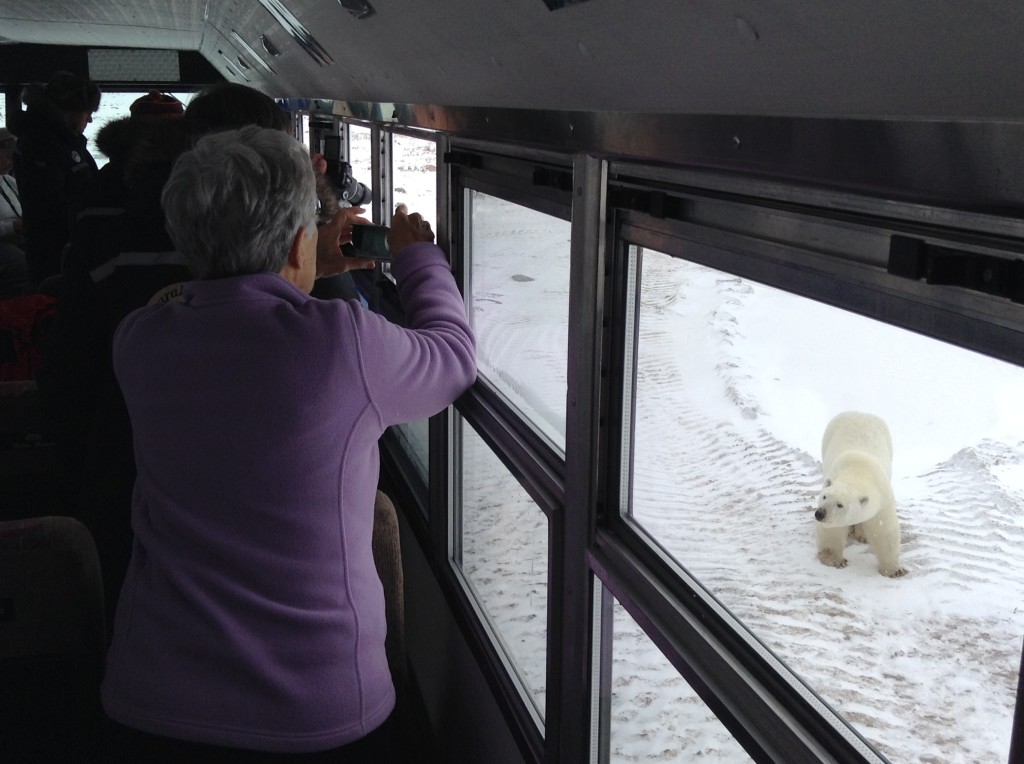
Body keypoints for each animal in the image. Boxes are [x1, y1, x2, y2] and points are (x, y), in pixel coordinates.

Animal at [814, 411, 906, 577]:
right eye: (824, 496)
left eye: (840, 505)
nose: (820, 513)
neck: (858, 470)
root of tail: (860, 412)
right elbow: (832, 531)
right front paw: (835, 560)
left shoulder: (882, 499)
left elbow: (884, 530)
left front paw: (895, 570)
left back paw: (861, 534)